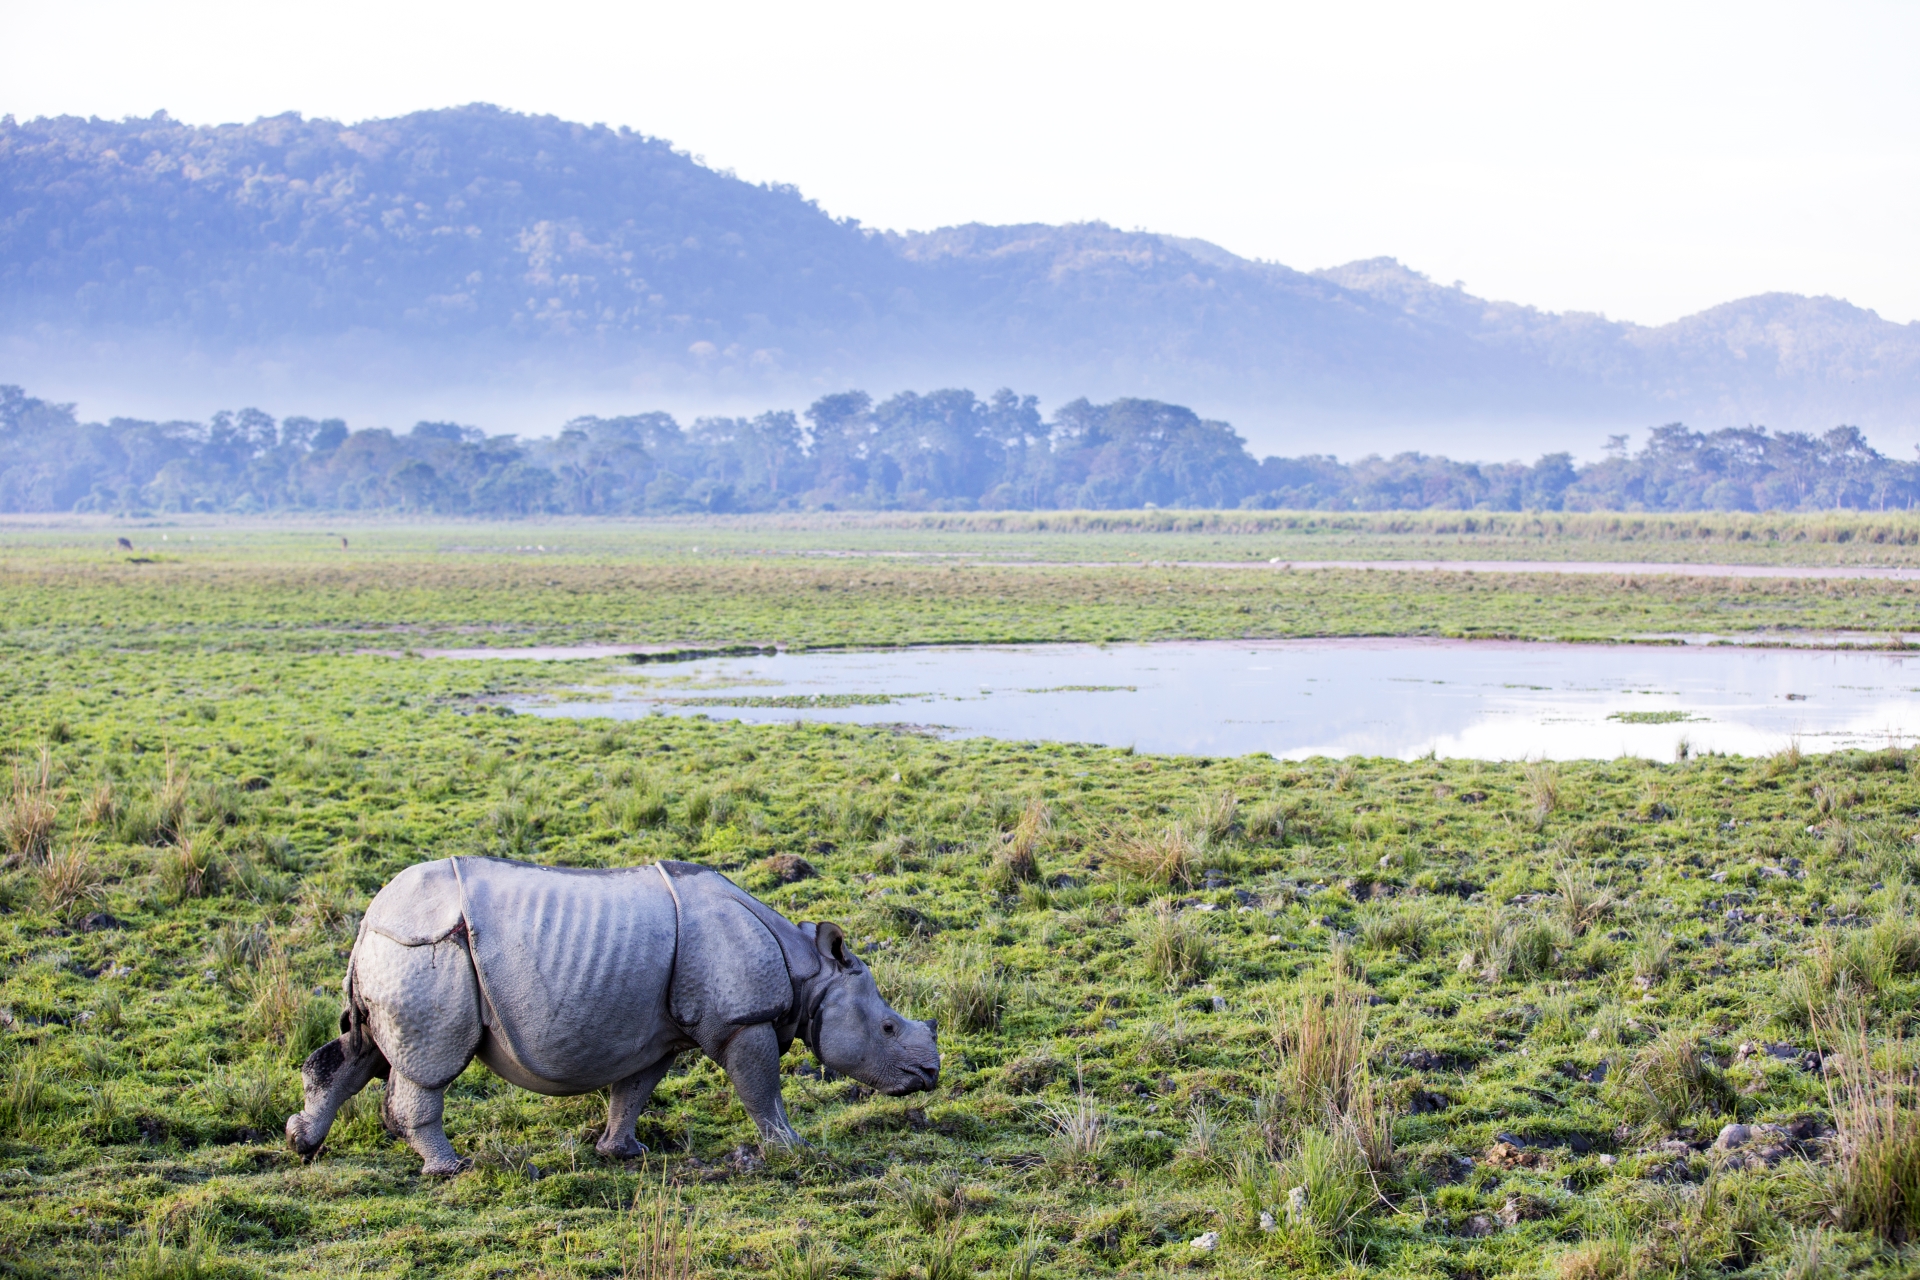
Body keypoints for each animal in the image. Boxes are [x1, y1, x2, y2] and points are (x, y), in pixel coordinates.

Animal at [285, 856, 939, 1174]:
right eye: (887, 1029)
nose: (930, 1075)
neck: (809, 973)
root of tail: (369, 917)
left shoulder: (657, 1034)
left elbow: (634, 1091)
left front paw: (622, 1153)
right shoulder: (742, 1021)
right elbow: (761, 1090)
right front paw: (792, 1149)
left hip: (397, 951)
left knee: (362, 1051)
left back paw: (302, 1143)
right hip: (427, 950)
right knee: (429, 1066)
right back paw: (450, 1168)